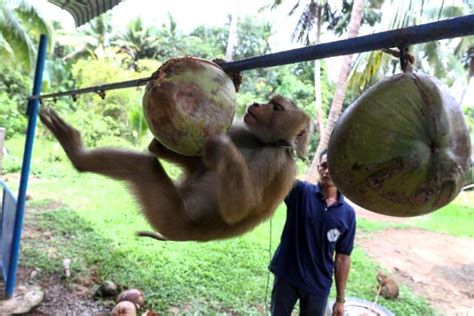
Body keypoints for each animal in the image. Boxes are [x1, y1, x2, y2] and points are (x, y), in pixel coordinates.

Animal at [39, 94, 312, 242]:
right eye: (270, 102)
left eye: (276, 108)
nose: (256, 104)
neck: (261, 141)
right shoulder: (242, 130)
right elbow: (178, 157)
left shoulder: (277, 161)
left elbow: (239, 210)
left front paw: (220, 145)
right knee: (147, 164)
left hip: (168, 216)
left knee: (145, 168)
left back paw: (78, 157)